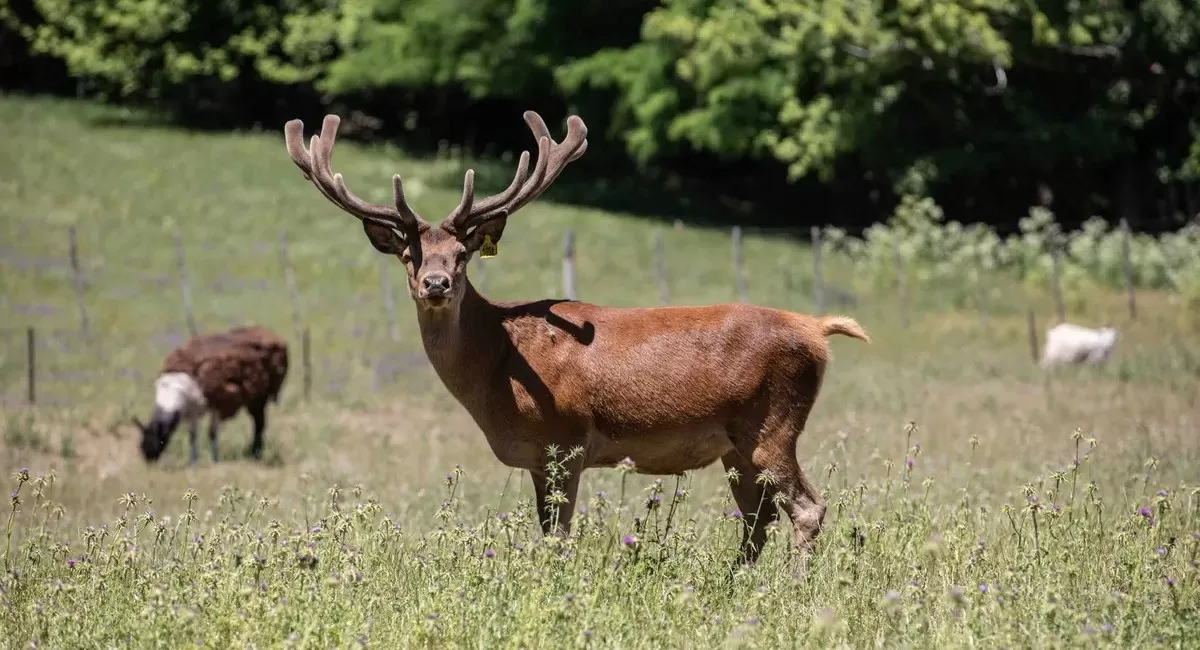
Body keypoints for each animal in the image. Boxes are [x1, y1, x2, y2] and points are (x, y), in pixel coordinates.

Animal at [133, 328, 288, 465]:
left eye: (157, 440)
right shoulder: (191, 411)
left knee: (259, 424)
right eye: (142, 443)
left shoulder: (217, 404)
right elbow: (193, 436)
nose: (149, 461)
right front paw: (193, 462)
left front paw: (215, 460)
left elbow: (212, 433)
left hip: (259, 398)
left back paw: (255, 455)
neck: (173, 390)